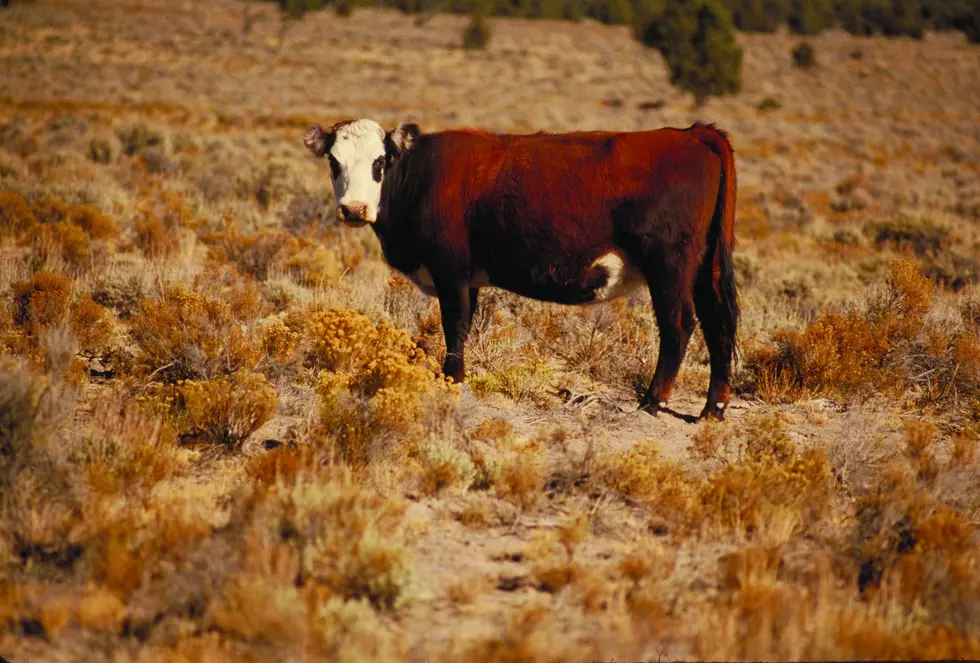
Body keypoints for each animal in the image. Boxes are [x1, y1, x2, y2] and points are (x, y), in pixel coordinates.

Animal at [302, 118, 740, 420]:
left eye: (379, 161)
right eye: (334, 162)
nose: (354, 209)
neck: (421, 175)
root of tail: (690, 134)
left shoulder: (450, 269)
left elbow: (454, 324)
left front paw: (451, 379)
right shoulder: (468, 278)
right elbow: (464, 325)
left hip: (669, 266)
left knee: (679, 325)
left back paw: (651, 401)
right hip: (706, 268)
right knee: (719, 323)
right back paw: (712, 409)